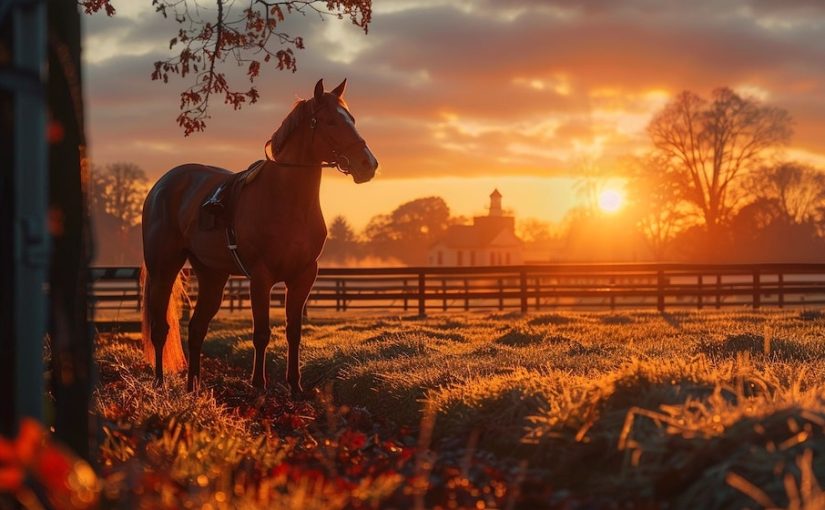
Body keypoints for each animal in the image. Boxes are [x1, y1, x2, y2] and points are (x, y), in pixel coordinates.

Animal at [141, 79, 376, 396]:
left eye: (351, 119)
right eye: (330, 121)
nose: (368, 164)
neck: (287, 200)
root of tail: (161, 185)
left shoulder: (304, 276)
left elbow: (294, 332)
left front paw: (295, 386)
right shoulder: (261, 278)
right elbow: (262, 333)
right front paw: (259, 386)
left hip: (212, 276)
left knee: (197, 328)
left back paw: (194, 386)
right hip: (163, 270)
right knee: (160, 328)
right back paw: (159, 382)